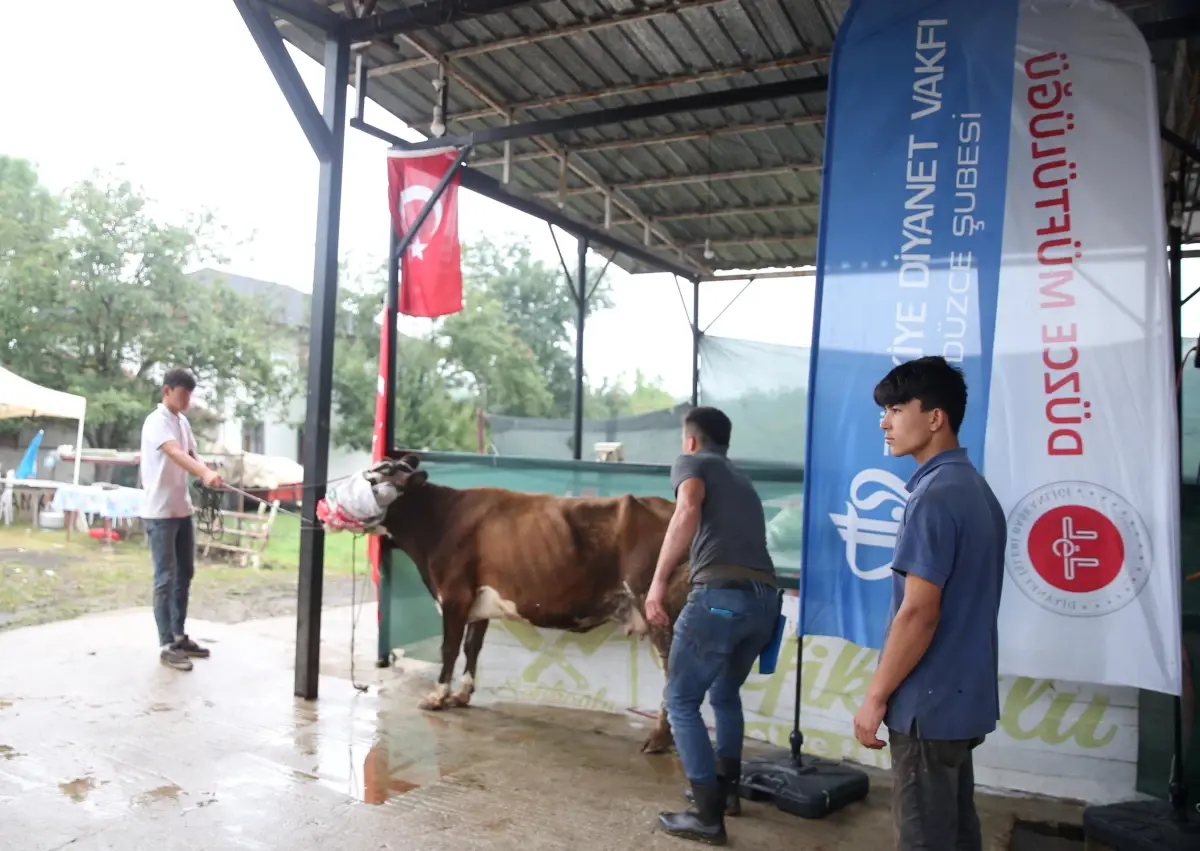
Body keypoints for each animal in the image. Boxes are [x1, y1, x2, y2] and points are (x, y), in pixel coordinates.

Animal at [360, 451, 691, 748]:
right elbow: (472, 646)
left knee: (672, 671)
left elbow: (449, 648)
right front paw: (462, 694)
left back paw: (659, 739)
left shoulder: (455, 594)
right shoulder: (479, 600)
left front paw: (436, 696)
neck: (439, 520)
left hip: (656, 606)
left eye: (376, 481)